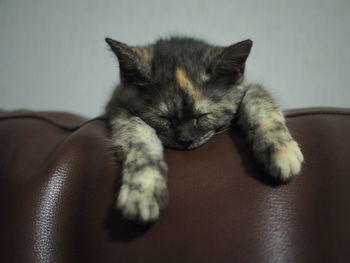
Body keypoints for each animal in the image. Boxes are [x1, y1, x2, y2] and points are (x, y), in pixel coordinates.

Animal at [104, 36, 304, 224]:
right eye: (164, 118)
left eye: (203, 116)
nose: (185, 140)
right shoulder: (116, 105)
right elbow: (137, 131)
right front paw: (142, 188)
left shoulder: (245, 87)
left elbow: (258, 95)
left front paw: (280, 149)